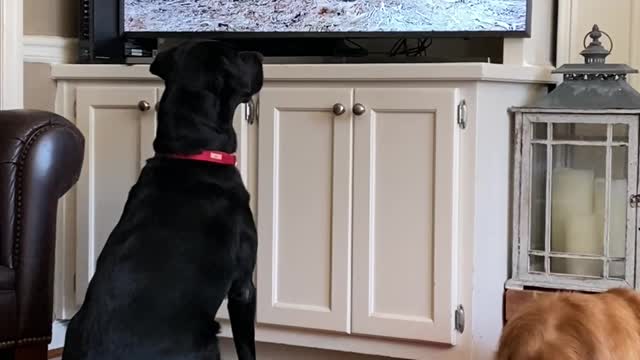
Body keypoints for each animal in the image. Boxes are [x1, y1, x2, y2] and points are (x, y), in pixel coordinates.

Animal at [63, 40, 264, 358]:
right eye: (234, 55)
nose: (260, 54)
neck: (191, 152)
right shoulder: (244, 286)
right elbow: (247, 348)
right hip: (207, 341)